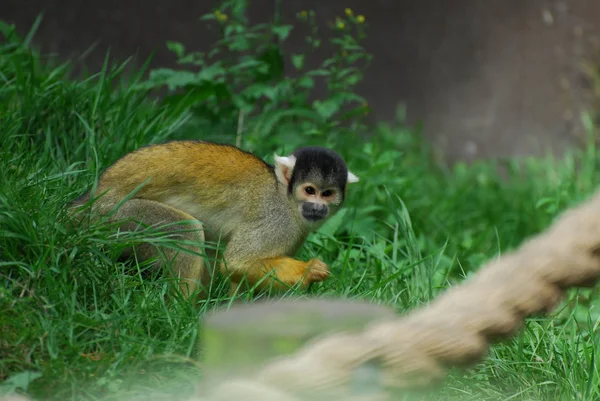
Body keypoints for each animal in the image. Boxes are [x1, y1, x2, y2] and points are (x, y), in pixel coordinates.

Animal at [71, 141, 360, 296]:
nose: (317, 207)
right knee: (186, 231)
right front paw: (308, 270)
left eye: (327, 194)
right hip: (119, 217)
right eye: (309, 190)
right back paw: (183, 312)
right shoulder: (277, 221)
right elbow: (236, 261)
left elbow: (241, 272)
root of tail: (93, 198)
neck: (285, 197)